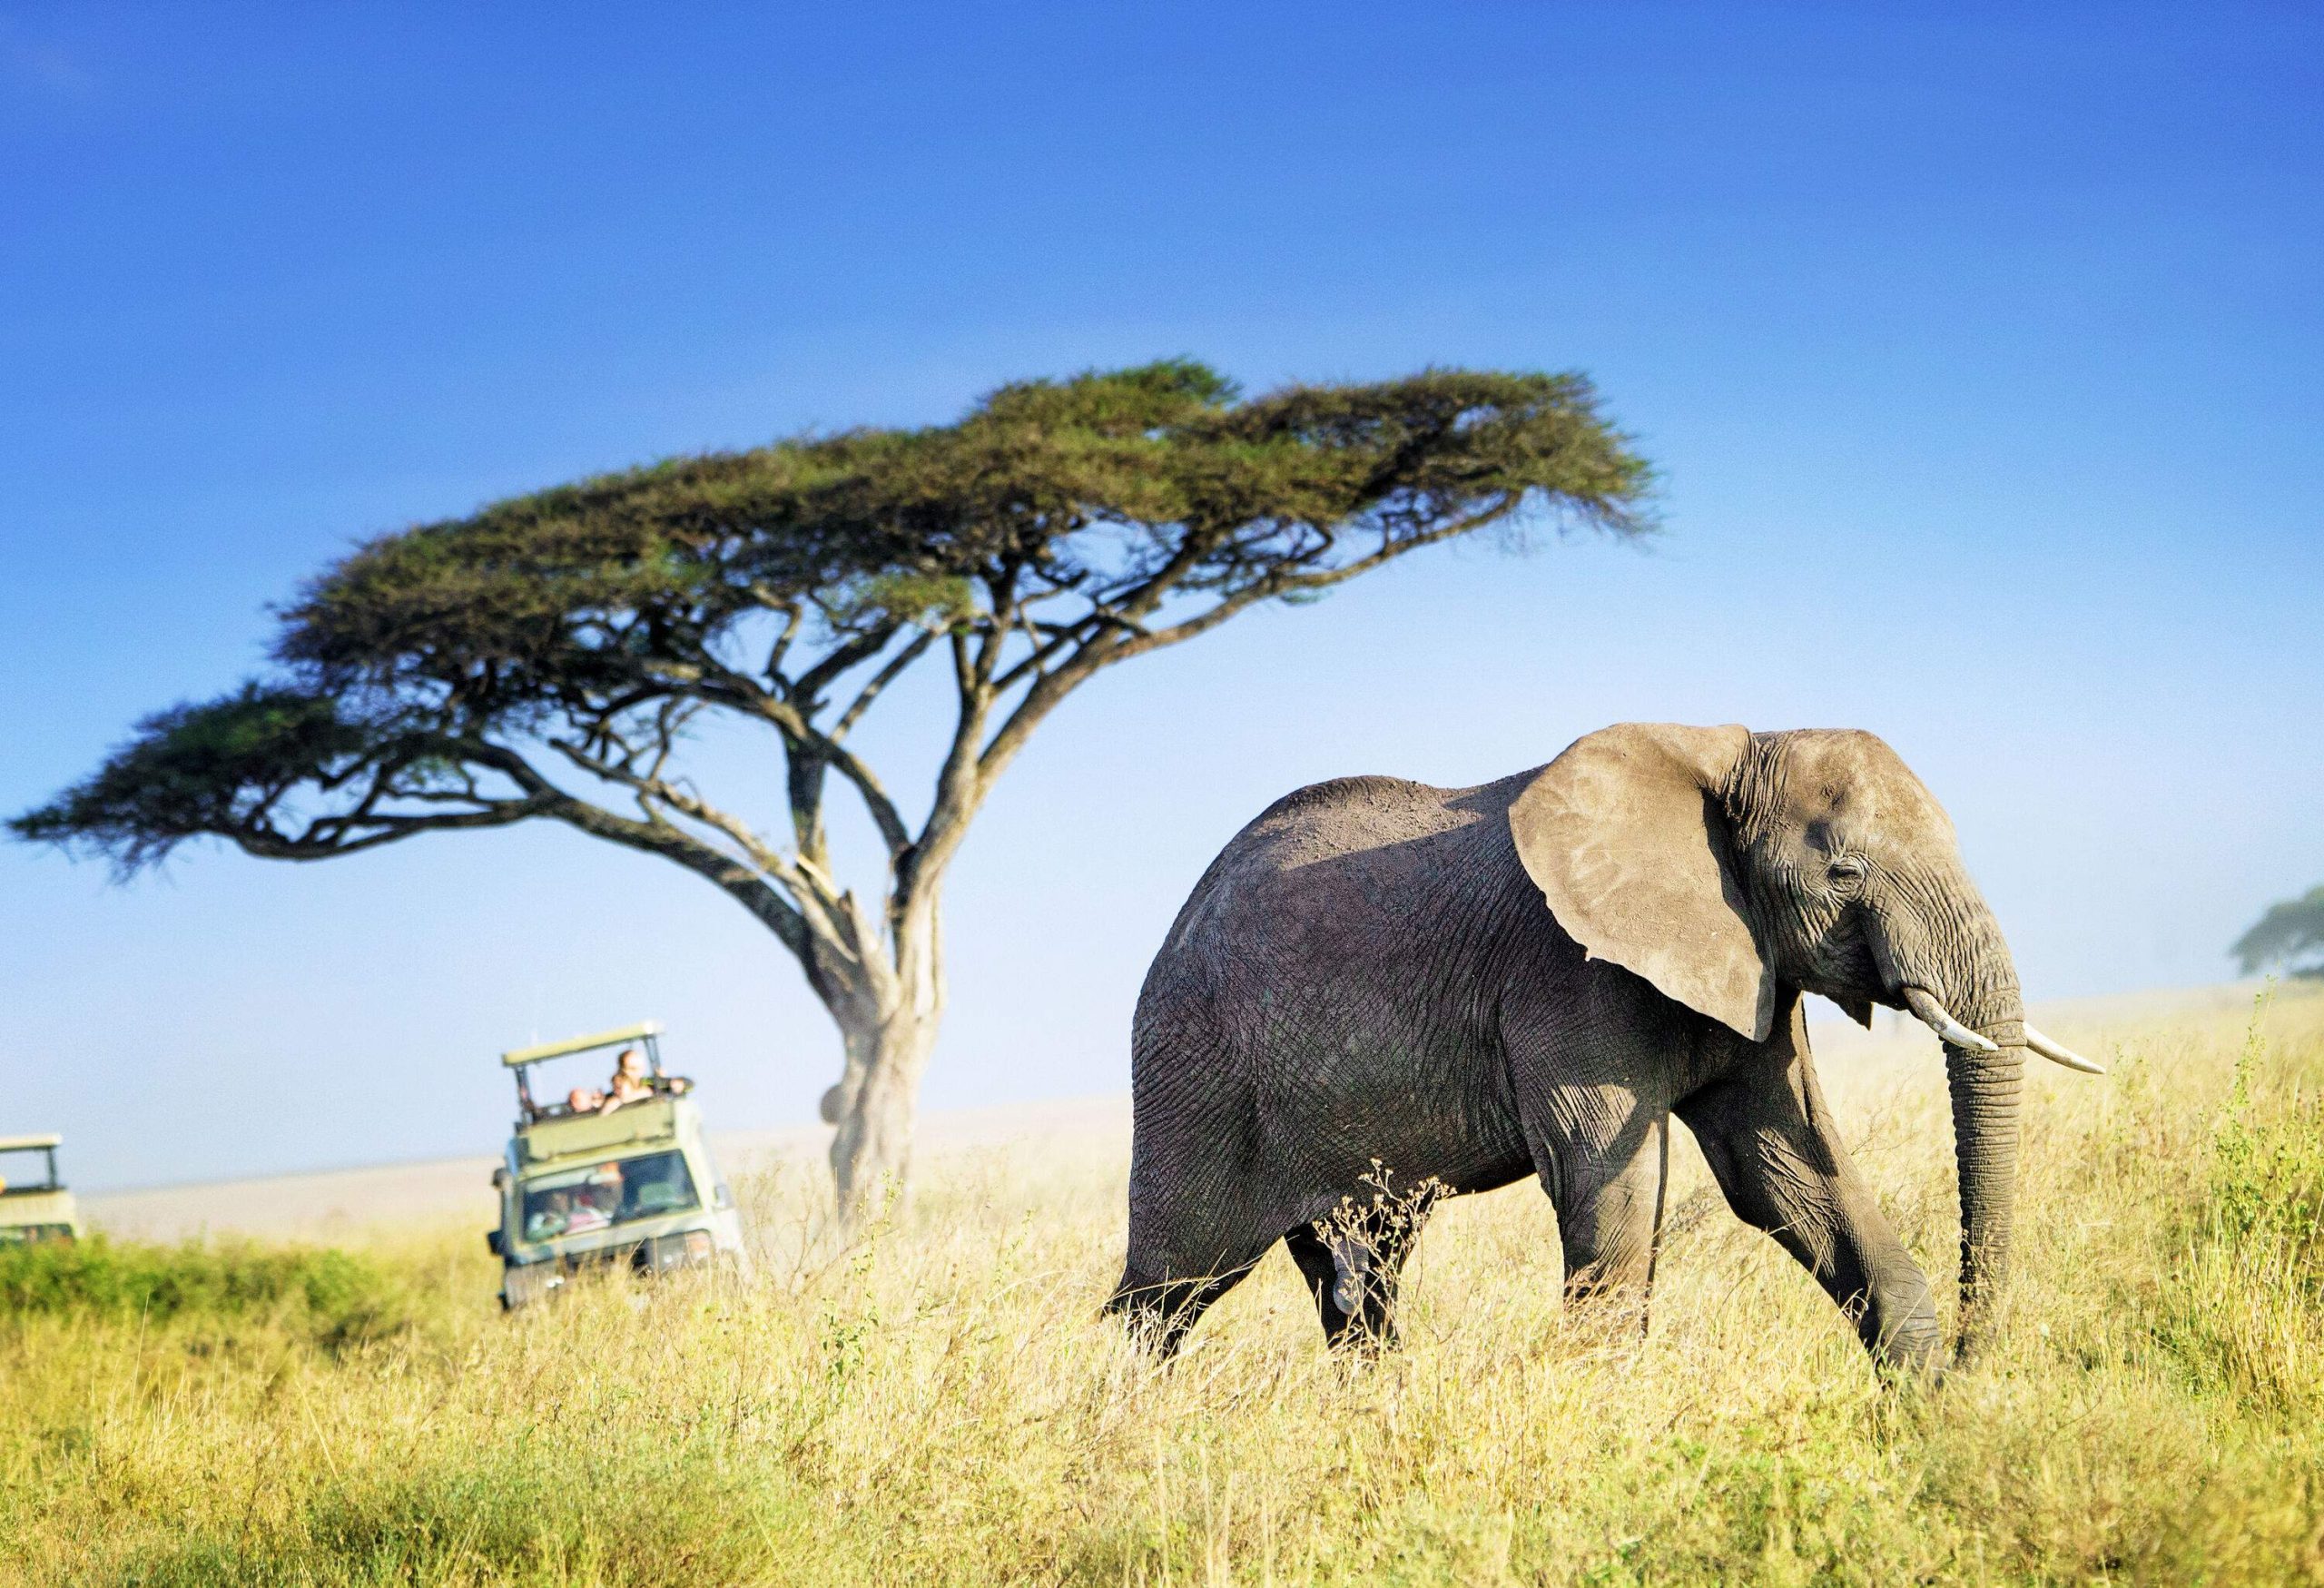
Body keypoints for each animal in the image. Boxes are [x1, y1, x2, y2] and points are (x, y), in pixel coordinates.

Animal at [1106, 725, 2110, 1376]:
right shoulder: (1567, 978)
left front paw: (1929, 1418)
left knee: (1359, 1282)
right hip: (1193, 1069)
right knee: (1172, 1283)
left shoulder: (1751, 966)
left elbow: (1790, 1175)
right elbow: (1609, 1189)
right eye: (1845, 873)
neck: (1722, 751)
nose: (1980, 1362)